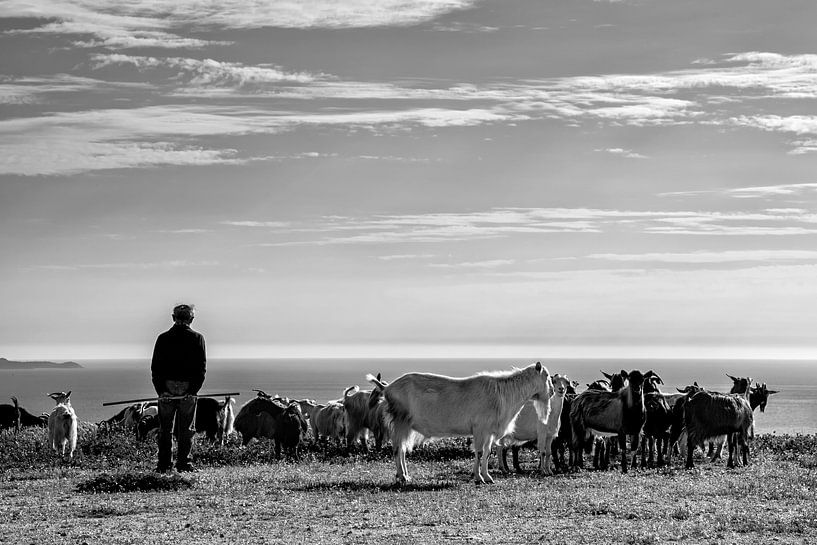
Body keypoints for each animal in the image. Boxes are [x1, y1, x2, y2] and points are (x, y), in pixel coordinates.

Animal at [370, 362, 556, 484]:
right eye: (547, 376)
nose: (553, 391)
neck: (504, 393)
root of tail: (388, 388)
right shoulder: (480, 428)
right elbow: (479, 452)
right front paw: (479, 478)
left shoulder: (489, 431)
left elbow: (487, 452)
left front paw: (487, 477)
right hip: (400, 421)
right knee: (397, 450)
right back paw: (402, 477)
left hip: (405, 425)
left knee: (401, 449)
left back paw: (405, 476)